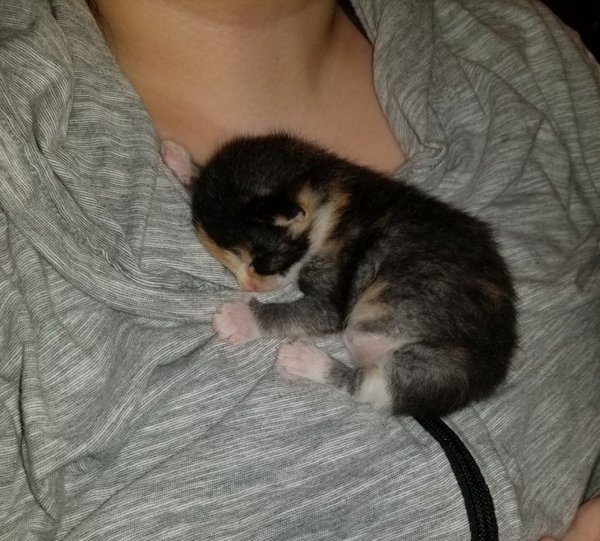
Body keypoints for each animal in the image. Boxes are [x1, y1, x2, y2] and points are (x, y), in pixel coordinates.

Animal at [161, 134, 517, 417]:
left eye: (264, 261)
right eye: (227, 266)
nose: (249, 286)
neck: (331, 198)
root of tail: (494, 371)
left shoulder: (339, 277)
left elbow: (306, 312)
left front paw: (242, 318)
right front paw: (182, 161)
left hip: (443, 366)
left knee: (372, 387)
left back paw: (307, 360)